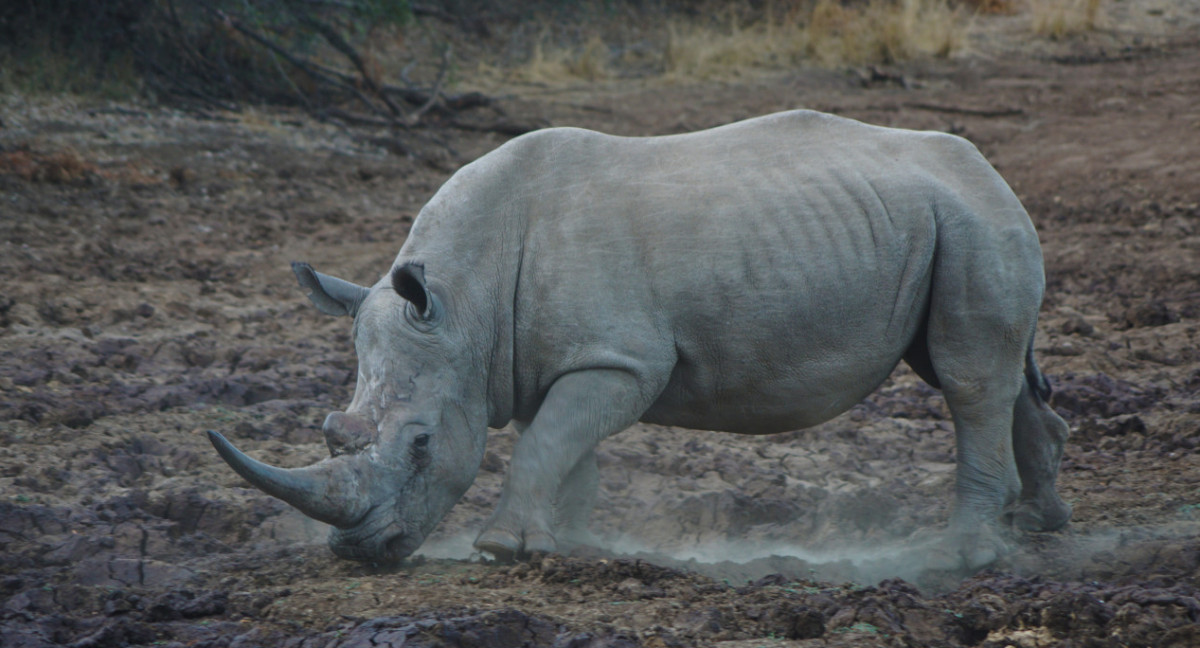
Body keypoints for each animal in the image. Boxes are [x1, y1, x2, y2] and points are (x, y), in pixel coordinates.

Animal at [206, 110, 1070, 566]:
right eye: (332, 430)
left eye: (420, 445)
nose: (362, 552)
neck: (462, 302)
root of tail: (989, 169)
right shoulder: (541, 359)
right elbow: (562, 446)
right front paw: (567, 543)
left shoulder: (620, 360)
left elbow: (546, 442)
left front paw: (505, 549)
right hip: (940, 221)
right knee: (985, 375)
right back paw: (1042, 528)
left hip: (973, 223)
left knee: (966, 378)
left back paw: (961, 555)